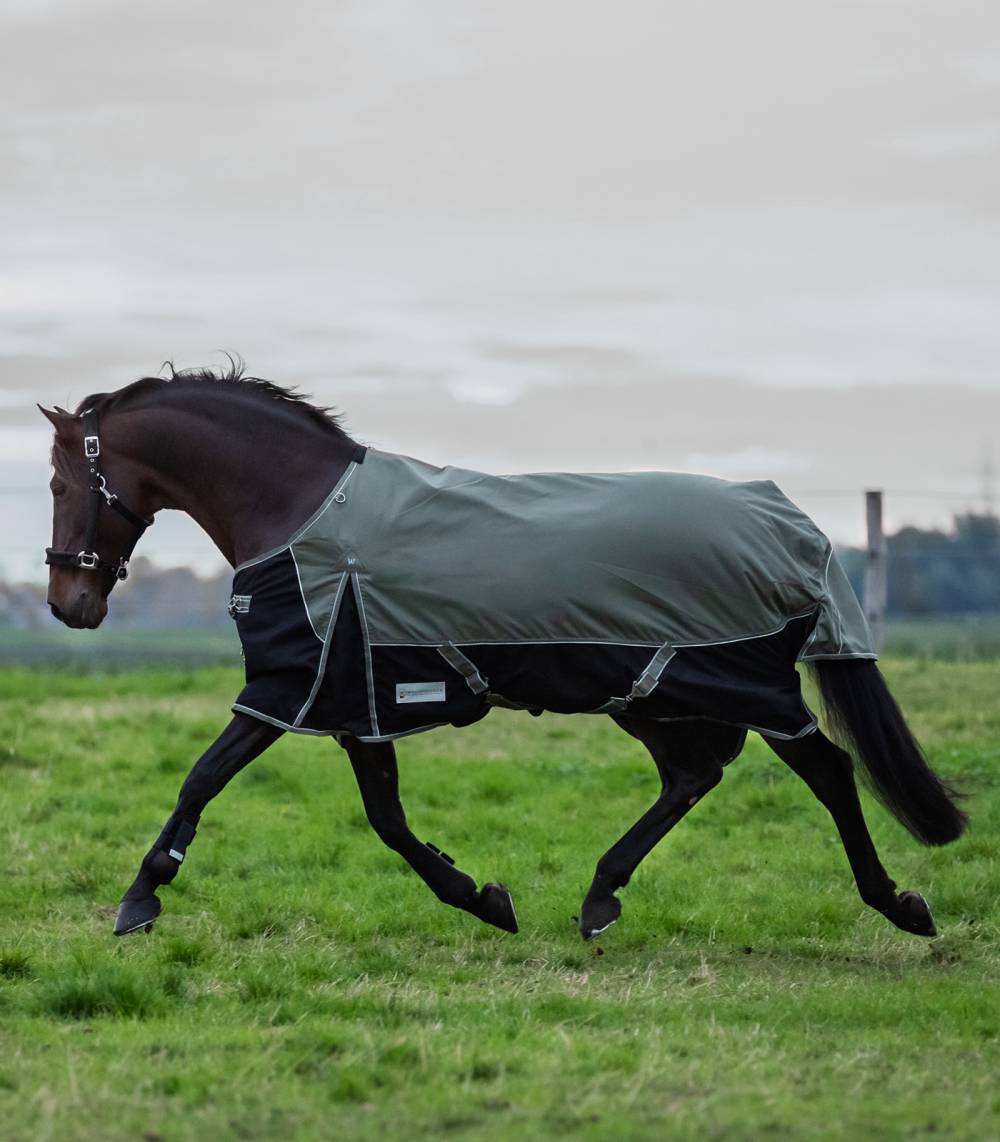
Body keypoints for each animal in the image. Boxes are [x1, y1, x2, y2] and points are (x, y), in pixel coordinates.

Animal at [41, 367, 968, 945]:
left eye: (57, 484)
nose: (67, 604)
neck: (302, 513)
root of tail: (792, 523)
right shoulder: (356, 702)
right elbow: (386, 818)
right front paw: (484, 898)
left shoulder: (290, 687)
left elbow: (204, 776)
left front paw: (139, 899)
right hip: (650, 694)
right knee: (694, 774)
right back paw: (599, 898)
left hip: (743, 687)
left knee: (828, 770)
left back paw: (900, 904)